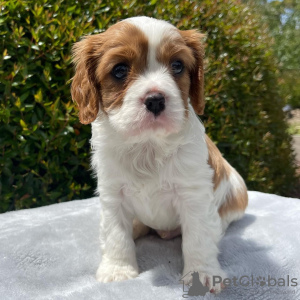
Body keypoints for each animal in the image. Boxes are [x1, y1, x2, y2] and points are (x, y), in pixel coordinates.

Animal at [71, 16, 247, 292]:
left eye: (177, 66)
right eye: (119, 70)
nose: (155, 99)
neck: (147, 144)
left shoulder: (194, 195)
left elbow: (198, 237)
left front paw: (202, 274)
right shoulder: (113, 194)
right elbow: (115, 234)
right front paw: (117, 270)